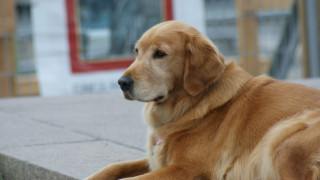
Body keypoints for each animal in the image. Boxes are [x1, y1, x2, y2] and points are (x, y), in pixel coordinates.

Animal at [87, 20, 320, 179]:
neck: (190, 106)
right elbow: (114, 167)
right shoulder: (157, 159)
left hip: (284, 140)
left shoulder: (188, 168)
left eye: (160, 54)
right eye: (137, 51)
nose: (122, 82)